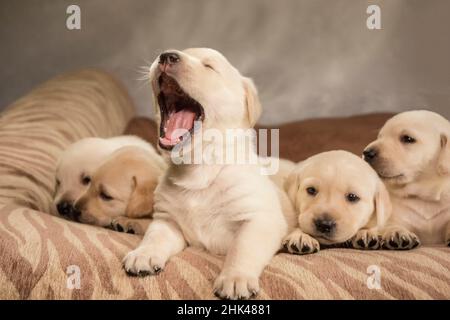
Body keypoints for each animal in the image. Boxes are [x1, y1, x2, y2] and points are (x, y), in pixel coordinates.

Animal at [121, 48, 286, 300]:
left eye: (209, 67)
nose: (166, 56)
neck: (199, 168)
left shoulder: (259, 219)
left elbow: (242, 248)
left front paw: (235, 278)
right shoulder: (167, 219)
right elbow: (154, 236)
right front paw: (144, 253)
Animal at [364, 110, 450, 248]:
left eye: (407, 139)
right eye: (380, 137)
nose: (367, 152)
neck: (424, 197)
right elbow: (391, 224)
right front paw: (397, 233)